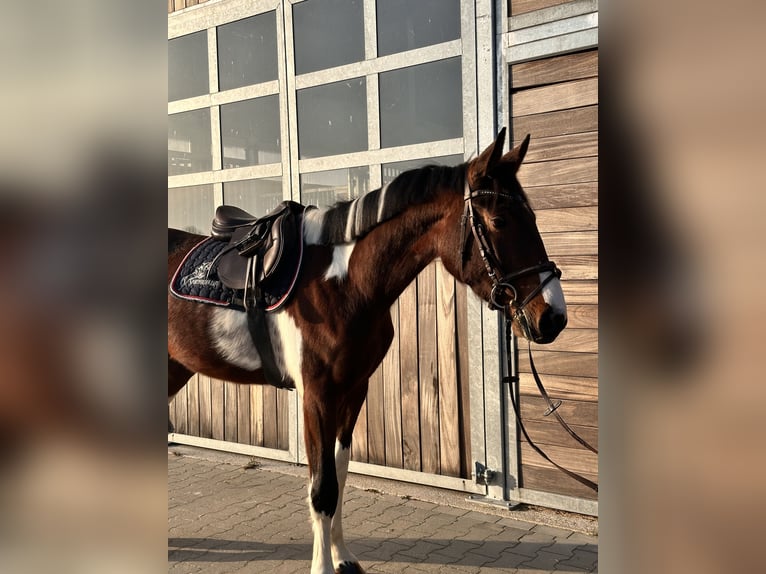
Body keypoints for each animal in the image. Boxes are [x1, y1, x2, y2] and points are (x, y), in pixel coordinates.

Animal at [167, 128, 567, 574]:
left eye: (532, 218)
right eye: (499, 221)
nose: (553, 316)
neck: (343, 283)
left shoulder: (354, 388)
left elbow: (340, 476)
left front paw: (343, 558)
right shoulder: (317, 395)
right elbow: (322, 486)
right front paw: (323, 567)